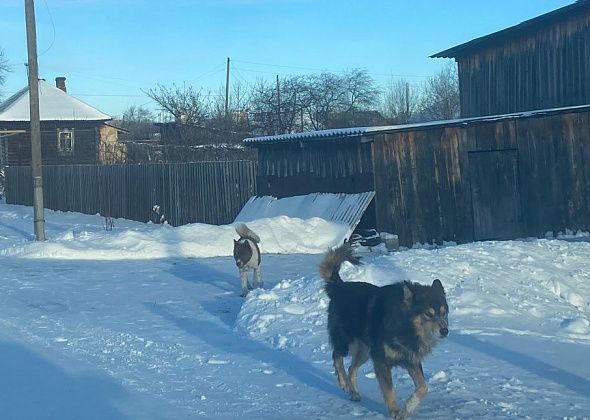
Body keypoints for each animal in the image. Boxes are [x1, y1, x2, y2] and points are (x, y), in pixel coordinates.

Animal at [322, 244, 450, 418]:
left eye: (444, 313)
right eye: (428, 314)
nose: (445, 330)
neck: (404, 326)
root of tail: (339, 287)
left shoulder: (411, 359)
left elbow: (423, 387)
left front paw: (408, 407)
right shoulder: (381, 360)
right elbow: (389, 390)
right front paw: (395, 411)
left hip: (365, 351)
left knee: (351, 368)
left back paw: (354, 393)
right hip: (346, 342)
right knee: (336, 357)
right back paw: (344, 383)